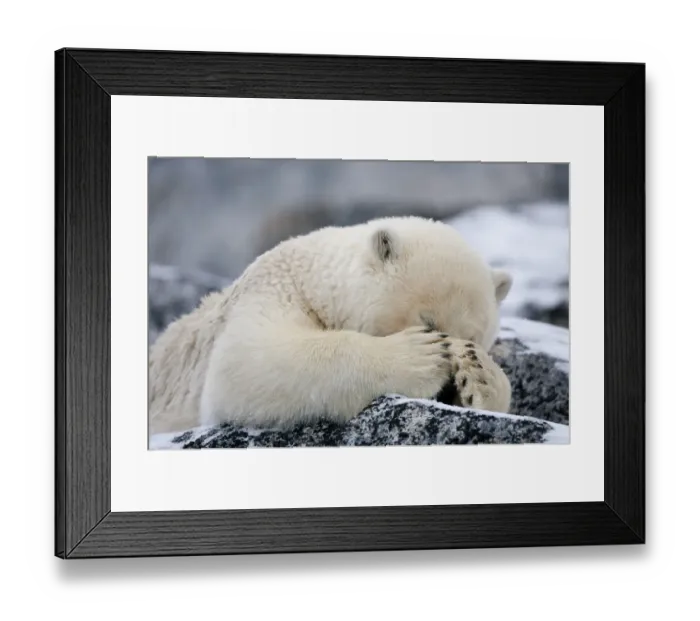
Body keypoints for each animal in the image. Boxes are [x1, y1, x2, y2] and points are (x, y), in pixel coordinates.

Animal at [148, 216, 513, 435]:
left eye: (474, 336)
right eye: (428, 321)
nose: (450, 388)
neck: (309, 277)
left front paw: (480, 376)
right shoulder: (271, 290)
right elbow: (245, 363)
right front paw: (421, 356)